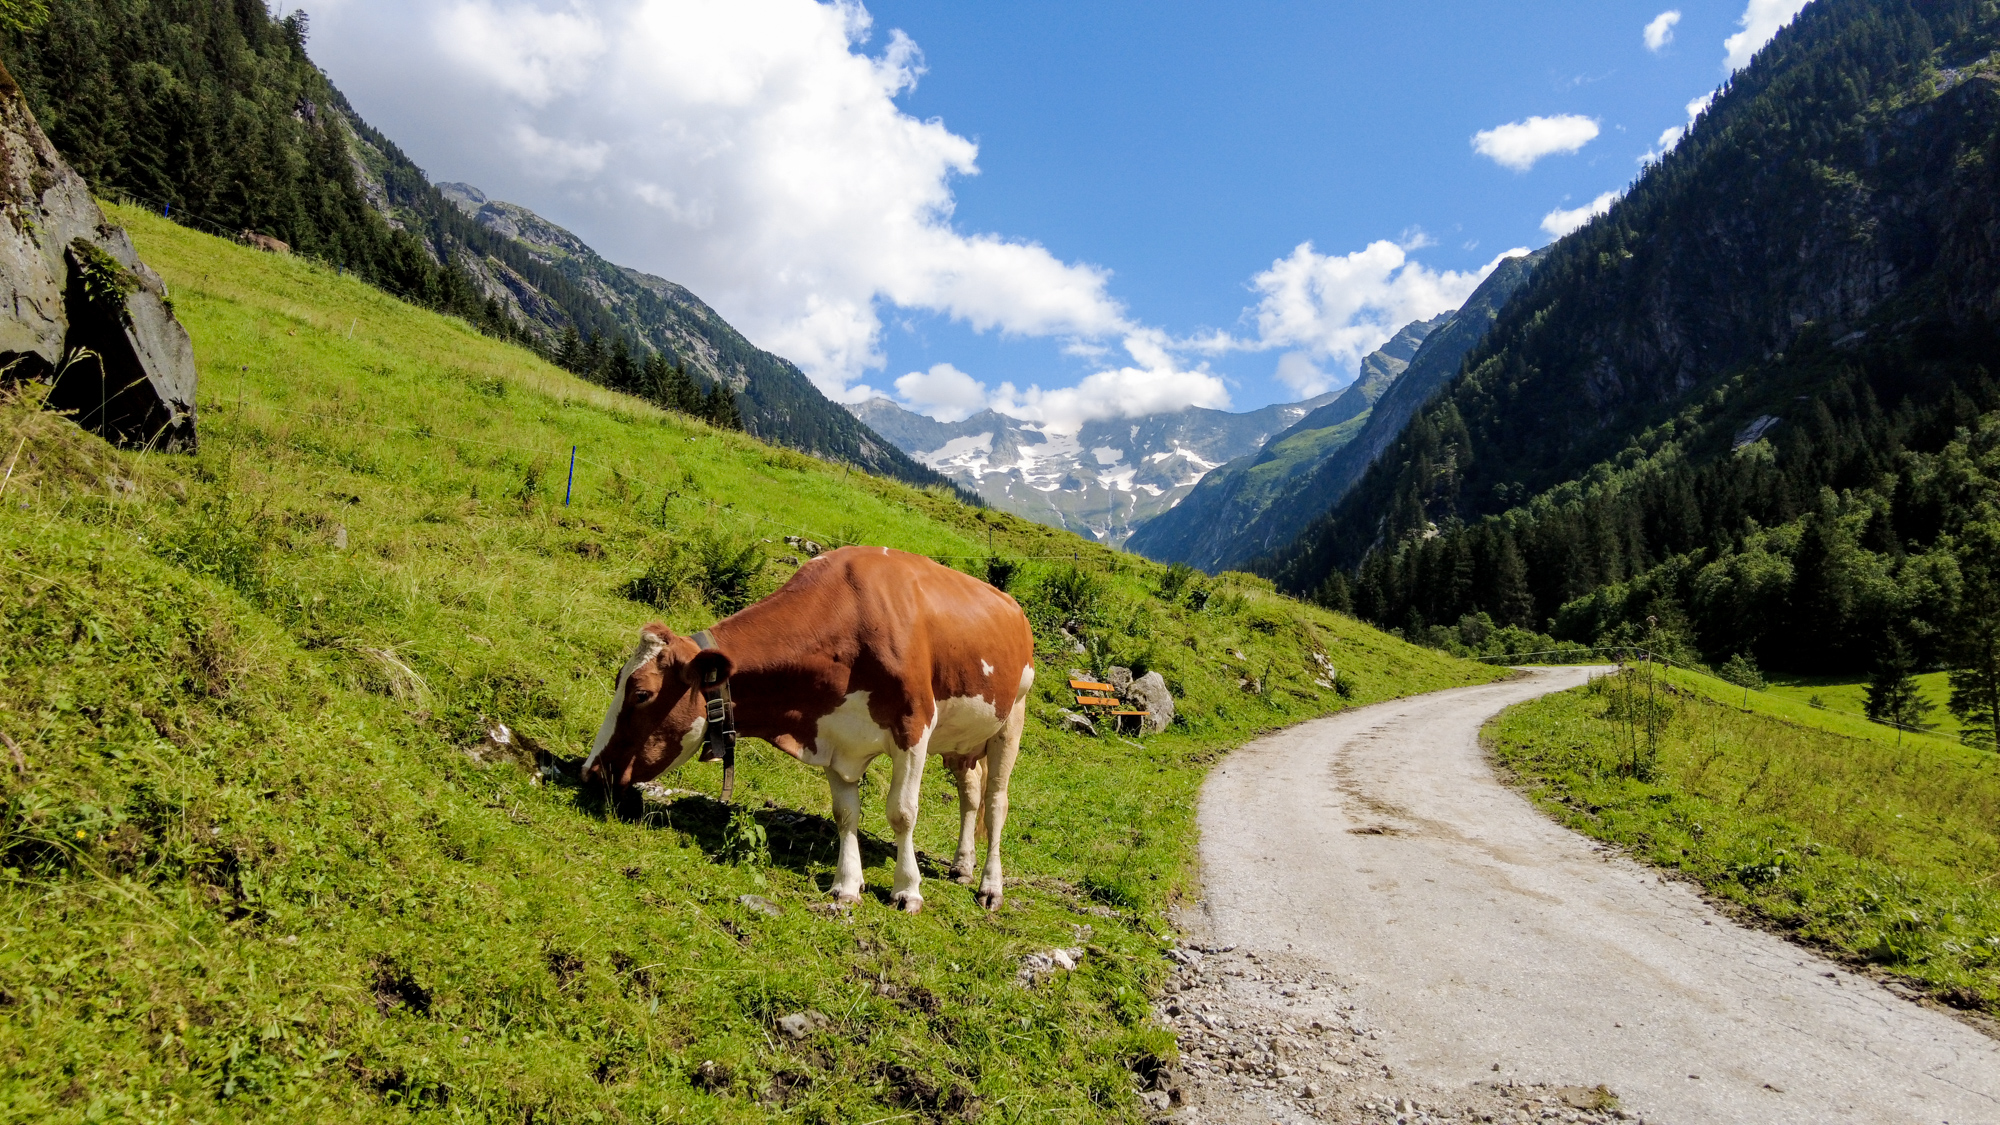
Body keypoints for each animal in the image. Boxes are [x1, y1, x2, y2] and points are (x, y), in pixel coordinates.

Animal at [580, 544, 1040, 912]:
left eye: (641, 693)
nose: (590, 770)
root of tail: (1012, 605)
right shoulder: (833, 737)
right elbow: (845, 813)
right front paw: (846, 885)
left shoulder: (914, 728)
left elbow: (902, 812)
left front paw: (906, 890)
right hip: (962, 740)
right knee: (970, 795)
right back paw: (962, 866)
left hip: (1010, 720)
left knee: (995, 803)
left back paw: (990, 886)